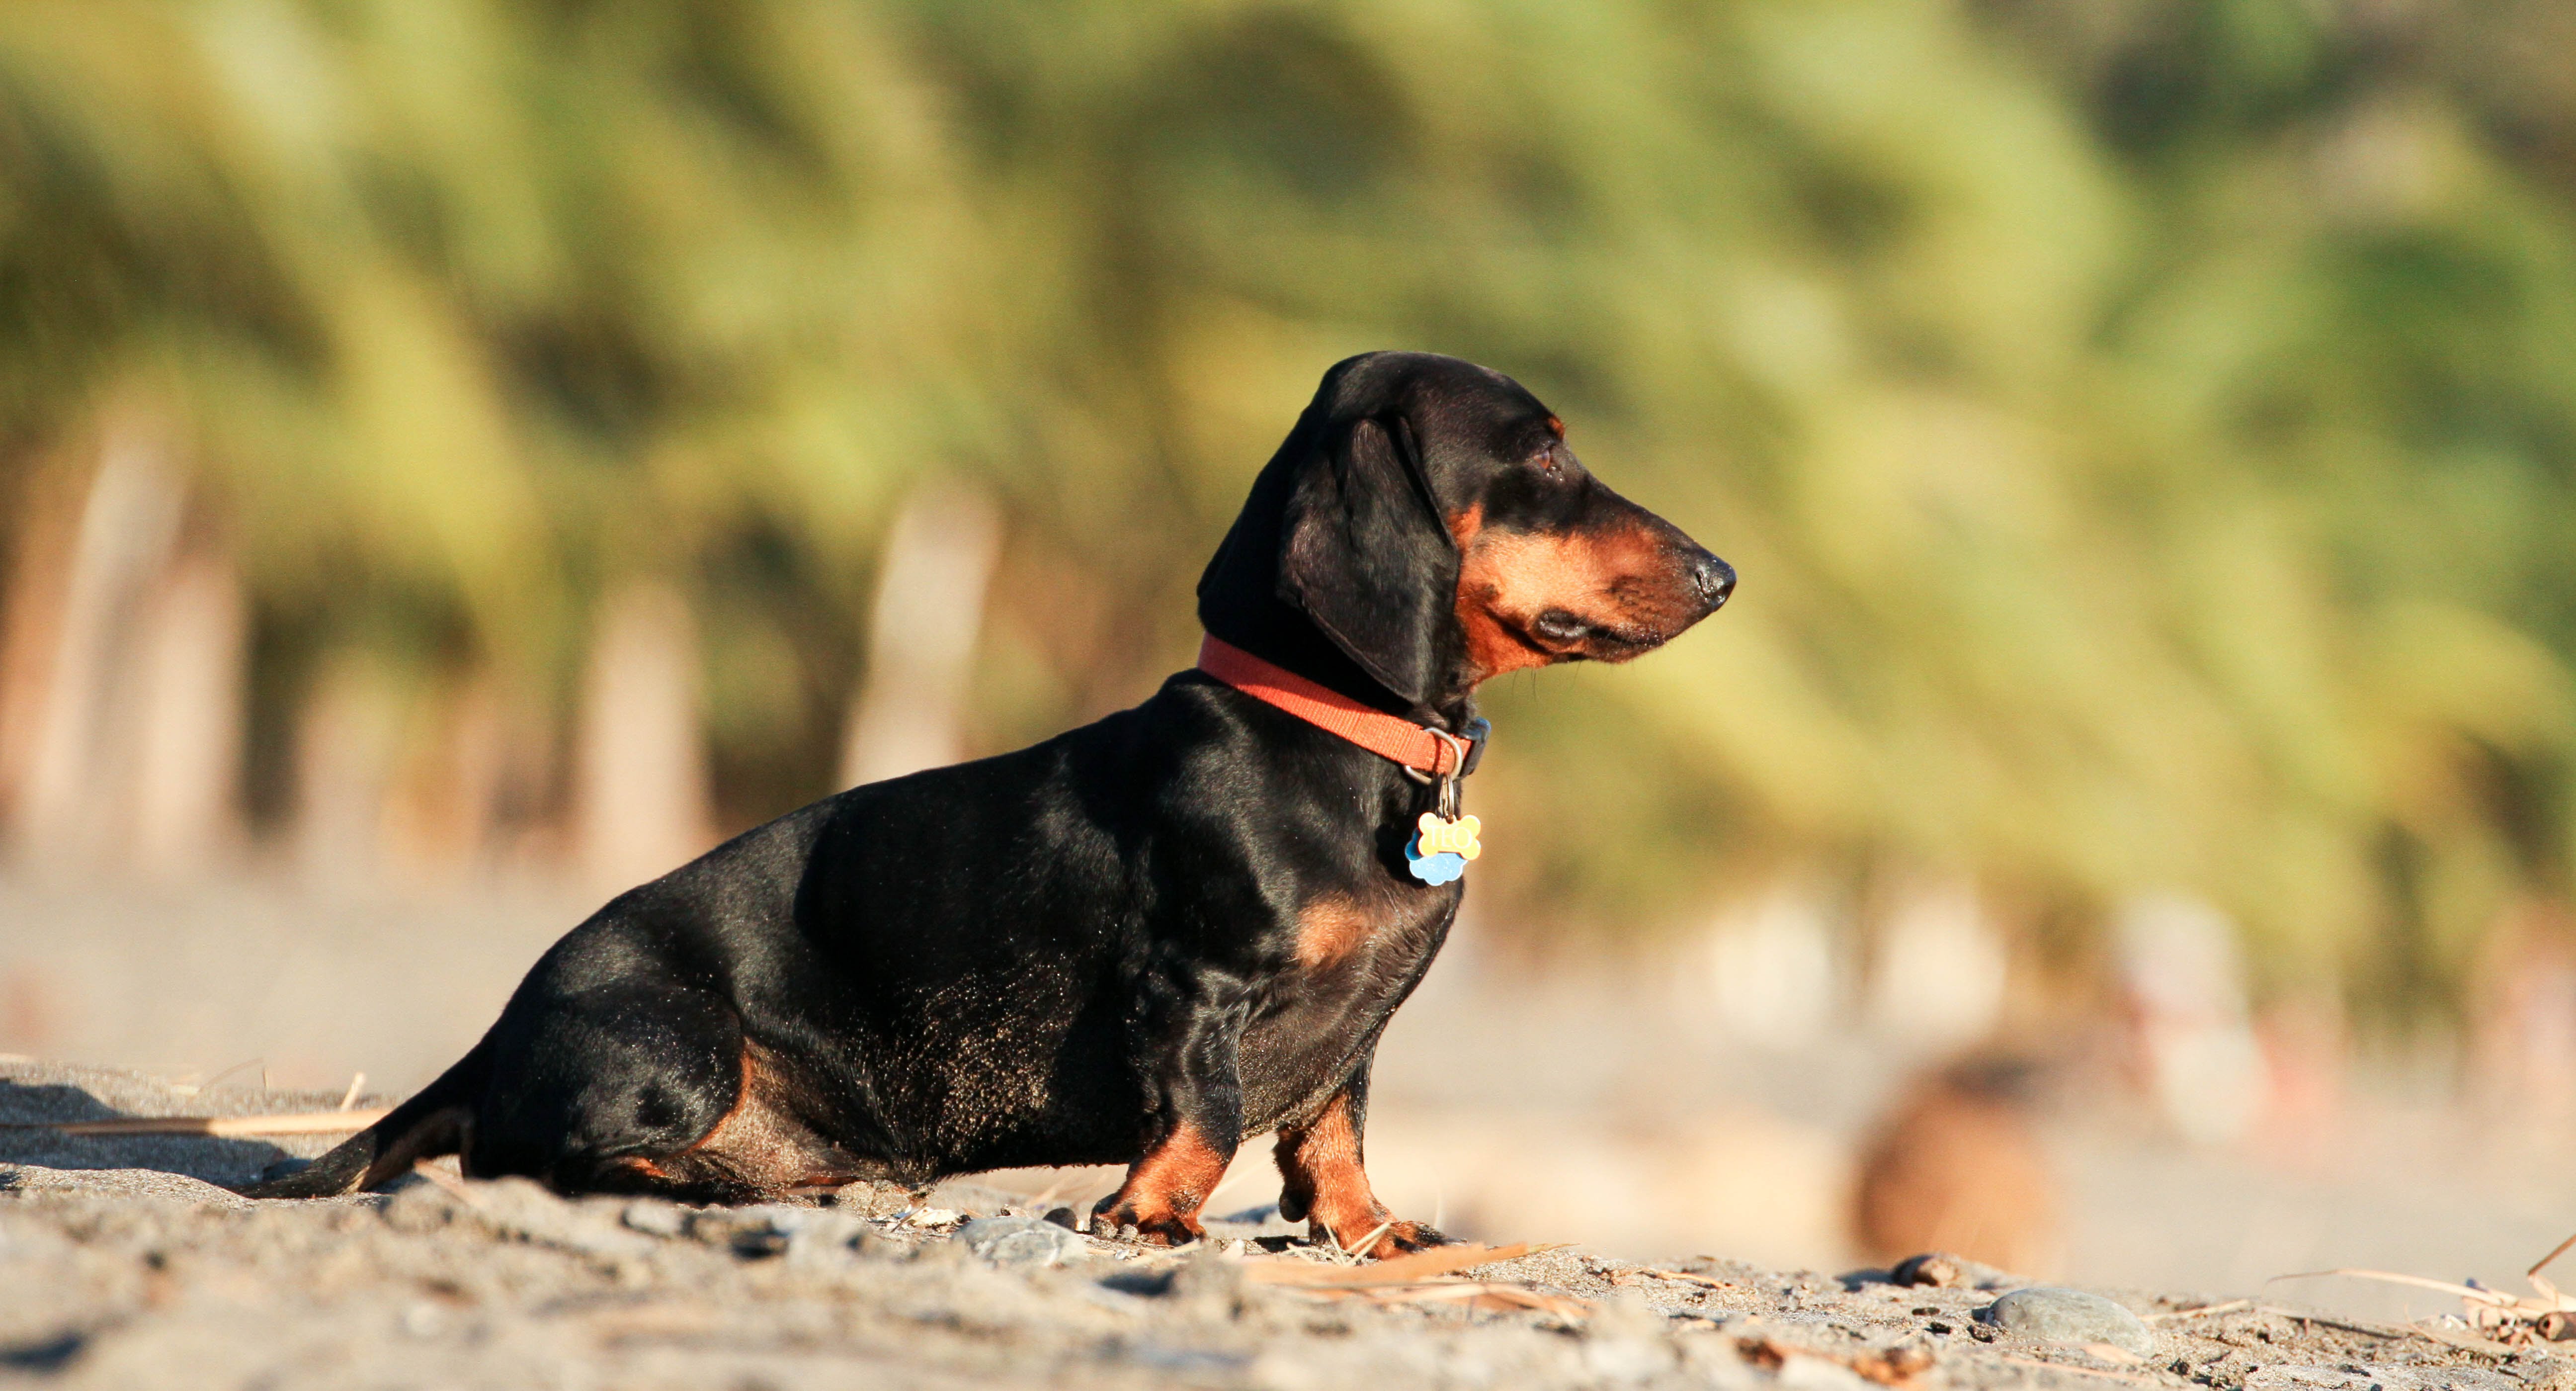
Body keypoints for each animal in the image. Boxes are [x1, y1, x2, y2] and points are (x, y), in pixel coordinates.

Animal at [246, 351, 1732, 1257]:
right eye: (1545, 460)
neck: (1331, 734)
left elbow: (1330, 1134)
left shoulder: (1354, 1033)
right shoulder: (1191, 984)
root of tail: (496, 1035)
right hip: (678, 1040)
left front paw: (1371, 1229)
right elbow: (1203, 1110)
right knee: (537, 1162)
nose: (1720, 573)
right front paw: (1150, 1212)